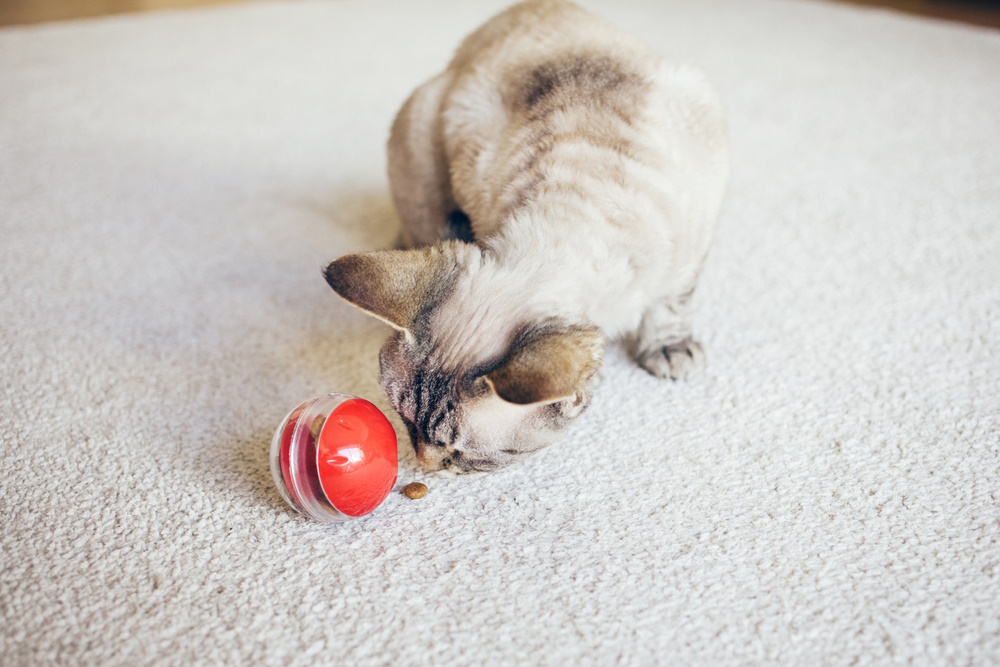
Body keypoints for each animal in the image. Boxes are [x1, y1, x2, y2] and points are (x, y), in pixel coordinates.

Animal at [326, 0, 728, 474]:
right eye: (404, 420)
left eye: (463, 455)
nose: (426, 465)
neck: (576, 209)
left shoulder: (691, 246)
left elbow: (669, 306)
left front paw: (667, 349)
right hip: (420, 128)